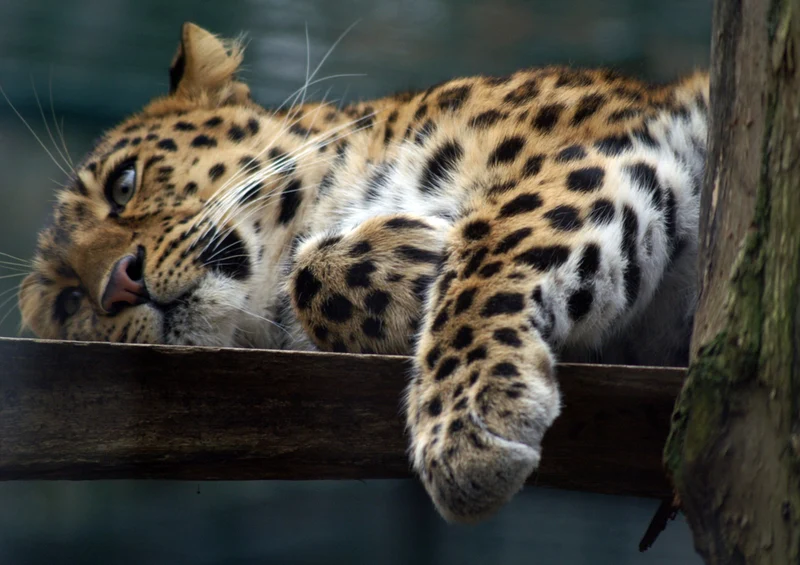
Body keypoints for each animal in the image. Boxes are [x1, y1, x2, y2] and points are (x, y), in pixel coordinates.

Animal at [18, 22, 708, 522]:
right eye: (68, 303)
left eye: (124, 183)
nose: (117, 284)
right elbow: (315, 273)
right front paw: (420, 253)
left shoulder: (606, 148)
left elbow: (495, 237)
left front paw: (465, 422)